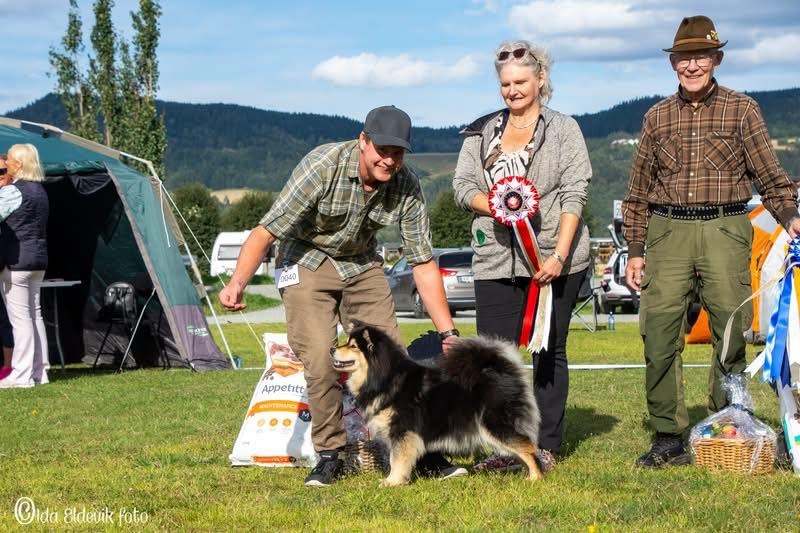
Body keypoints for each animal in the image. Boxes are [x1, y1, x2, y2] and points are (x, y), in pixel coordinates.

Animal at [331, 321, 543, 486]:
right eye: (347, 343)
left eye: (353, 346)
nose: (332, 348)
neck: (385, 377)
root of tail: (502, 370)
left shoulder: (402, 430)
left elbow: (397, 459)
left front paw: (392, 481)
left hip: (494, 424)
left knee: (528, 447)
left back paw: (535, 477)